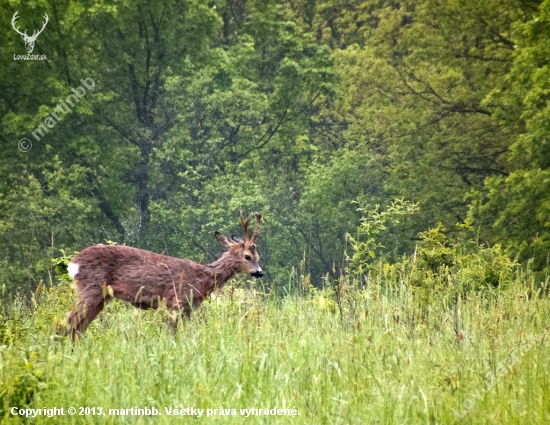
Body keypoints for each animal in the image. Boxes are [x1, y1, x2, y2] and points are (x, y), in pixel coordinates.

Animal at [64, 211, 264, 338]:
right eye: (247, 256)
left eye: (258, 257)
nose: (259, 272)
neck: (201, 279)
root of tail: (74, 263)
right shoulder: (174, 302)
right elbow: (171, 336)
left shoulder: (188, 309)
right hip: (91, 288)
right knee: (68, 323)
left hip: (101, 297)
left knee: (78, 327)